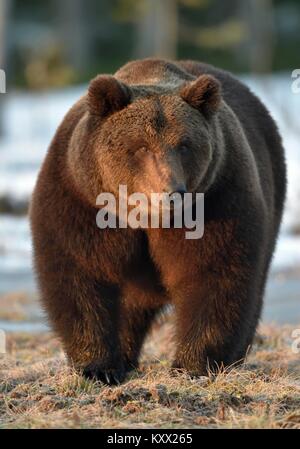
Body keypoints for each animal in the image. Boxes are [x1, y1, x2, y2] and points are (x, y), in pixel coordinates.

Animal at [29, 57, 286, 384]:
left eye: (185, 145)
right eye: (141, 146)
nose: (172, 192)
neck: (145, 218)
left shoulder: (218, 199)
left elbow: (214, 274)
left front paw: (192, 366)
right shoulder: (80, 198)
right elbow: (81, 273)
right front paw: (97, 367)